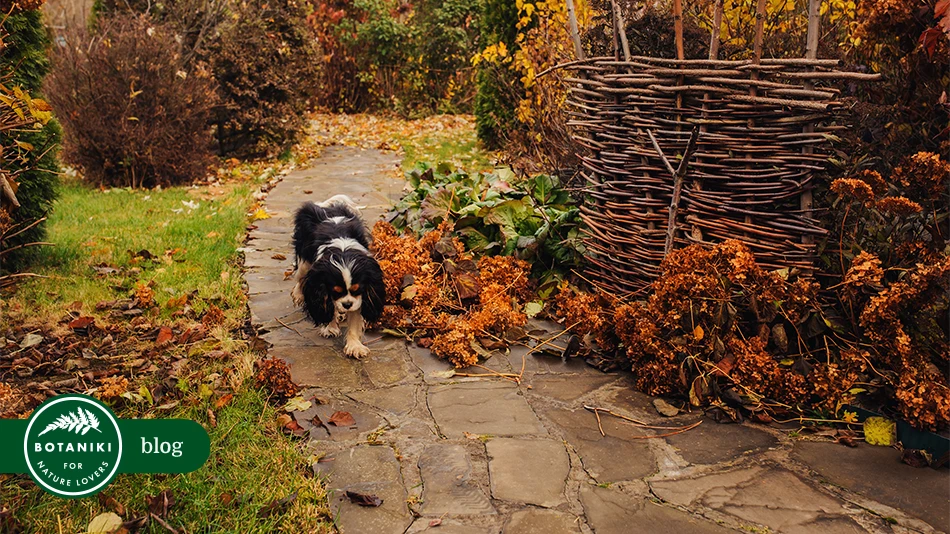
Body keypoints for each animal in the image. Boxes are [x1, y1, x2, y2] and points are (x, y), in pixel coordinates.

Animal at [294, 196, 390, 360]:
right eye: (336, 291)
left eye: (357, 290)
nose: (347, 304)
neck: (343, 252)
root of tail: (326, 209)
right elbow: (327, 305)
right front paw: (330, 327)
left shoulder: (360, 298)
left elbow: (355, 320)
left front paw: (354, 346)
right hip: (304, 260)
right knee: (299, 276)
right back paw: (298, 294)